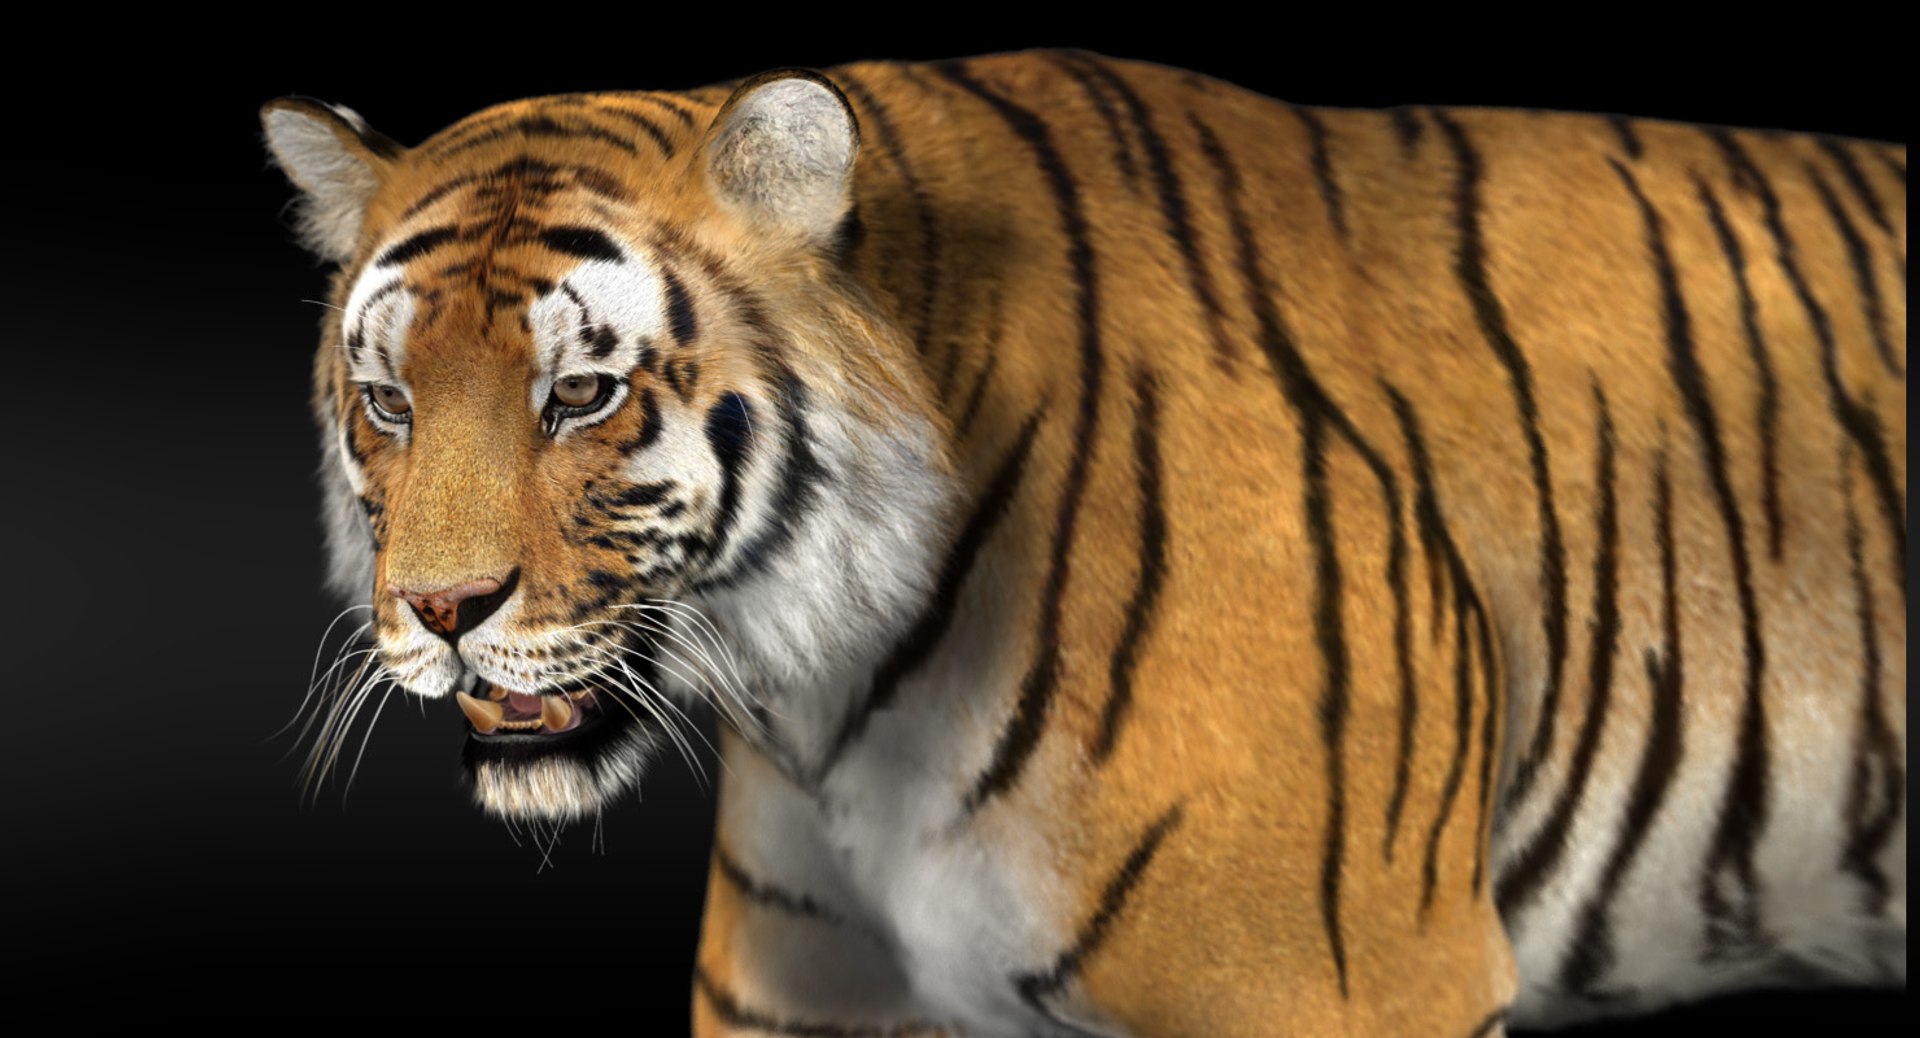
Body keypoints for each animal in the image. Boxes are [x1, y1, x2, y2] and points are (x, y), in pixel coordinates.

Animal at [262, 49, 1905, 1035]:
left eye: (582, 395)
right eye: (390, 401)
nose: (440, 610)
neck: (838, 709)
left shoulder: (1351, 986)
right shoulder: (802, 996)